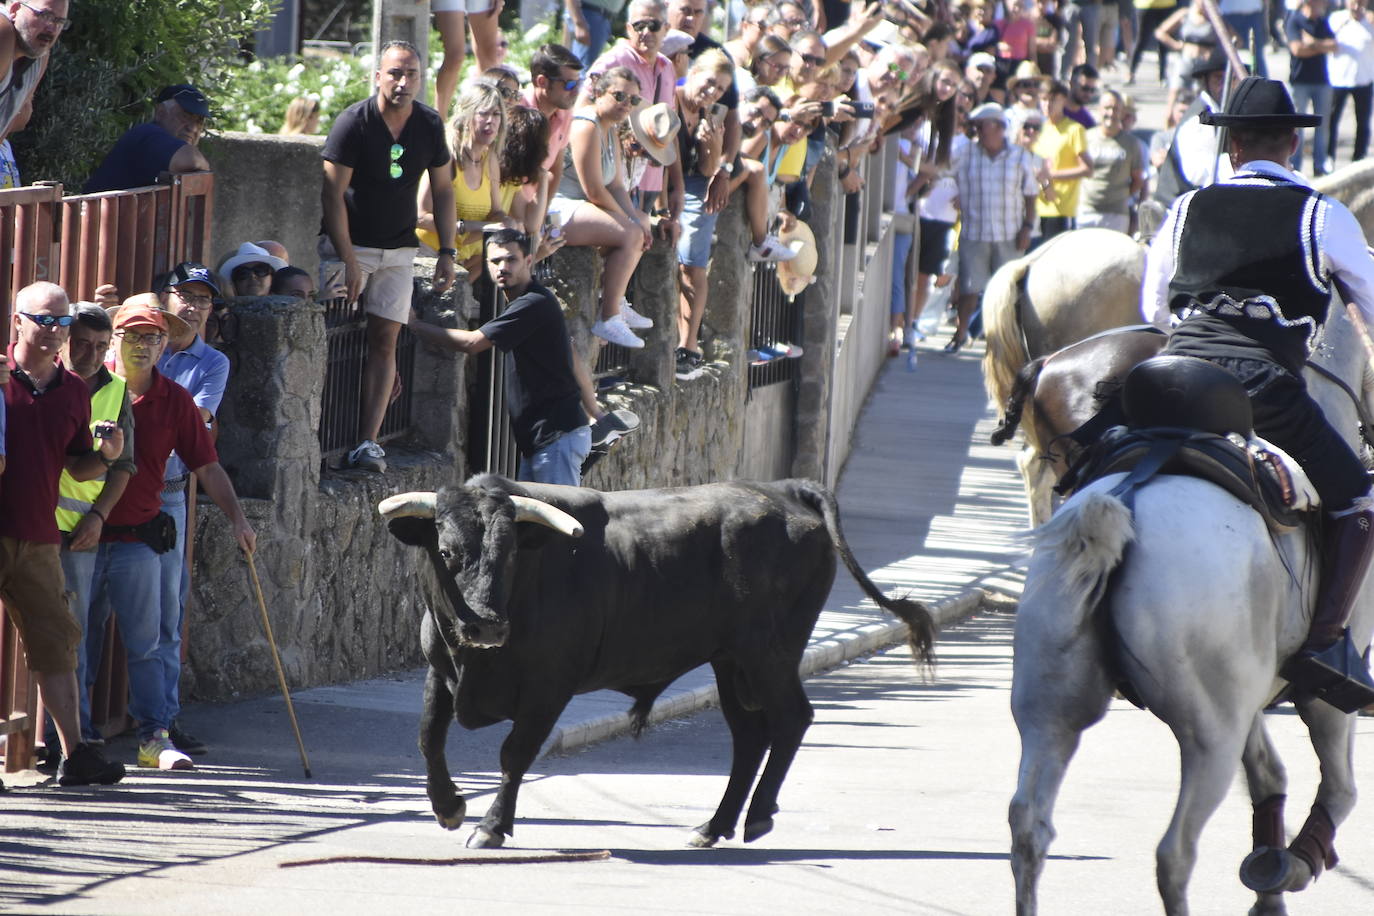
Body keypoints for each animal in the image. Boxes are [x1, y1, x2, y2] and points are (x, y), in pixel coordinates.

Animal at [381, 477, 934, 851]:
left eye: (512, 554)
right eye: (446, 551)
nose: (488, 628)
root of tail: (781, 490)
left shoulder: (549, 686)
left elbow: (514, 754)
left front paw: (491, 827)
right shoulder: (441, 671)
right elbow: (428, 738)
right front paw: (448, 807)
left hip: (769, 654)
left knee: (791, 719)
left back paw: (756, 817)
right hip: (731, 663)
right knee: (749, 736)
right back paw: (714, 826)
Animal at [1011, 304, 1374, 911]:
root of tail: (1125, 499)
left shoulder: (1253, 694)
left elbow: (1269, 775)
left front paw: (1269, 878)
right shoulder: (1325, 692)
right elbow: (1340, 788)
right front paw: (1294, 865)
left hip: (1050, 711)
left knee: (1029, 828)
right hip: (1209, 735)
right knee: (1173, 854)